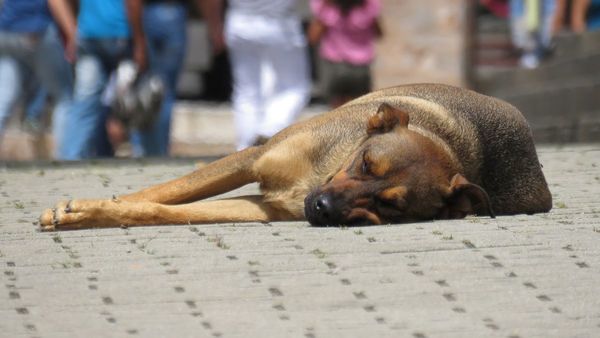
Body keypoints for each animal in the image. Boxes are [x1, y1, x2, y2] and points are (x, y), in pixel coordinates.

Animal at [38, 84, 552, 231]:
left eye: (390, 205)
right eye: (366, 164)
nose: (321, 209)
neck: (319, 175)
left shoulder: (265, 208)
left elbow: (161, 210)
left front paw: (92, 212)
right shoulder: (253, 158)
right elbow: (164, 191)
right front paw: (83, 209)